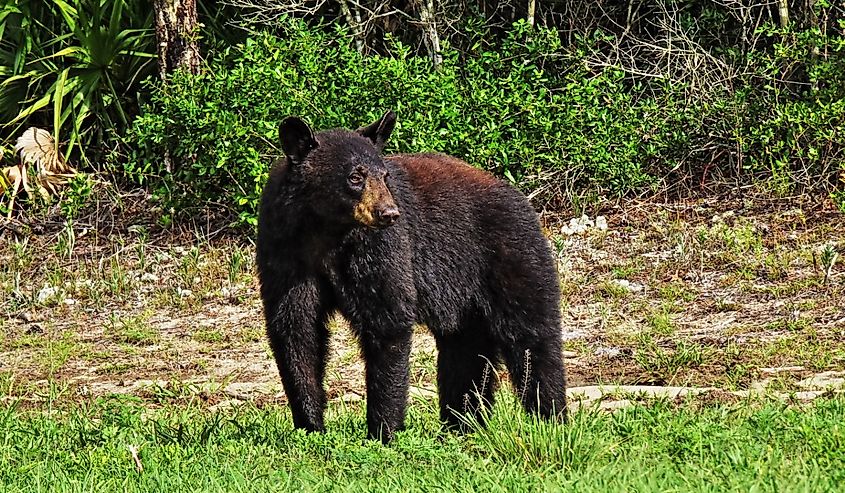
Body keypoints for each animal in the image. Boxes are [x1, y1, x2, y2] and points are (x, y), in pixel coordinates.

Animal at [254, 111, 564, 442]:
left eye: (384, 176)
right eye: (355, 177)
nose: (388, 213)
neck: (326, 230)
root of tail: (521, 199)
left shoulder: (380, 248)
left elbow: (387, 317)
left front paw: (383, 430)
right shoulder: (284, 249)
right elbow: (295, 327)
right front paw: (310, 425)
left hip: (509, 256)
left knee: (531, 336)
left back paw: (549, 417)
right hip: (466, 299)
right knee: (465, 352)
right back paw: (462, 423)